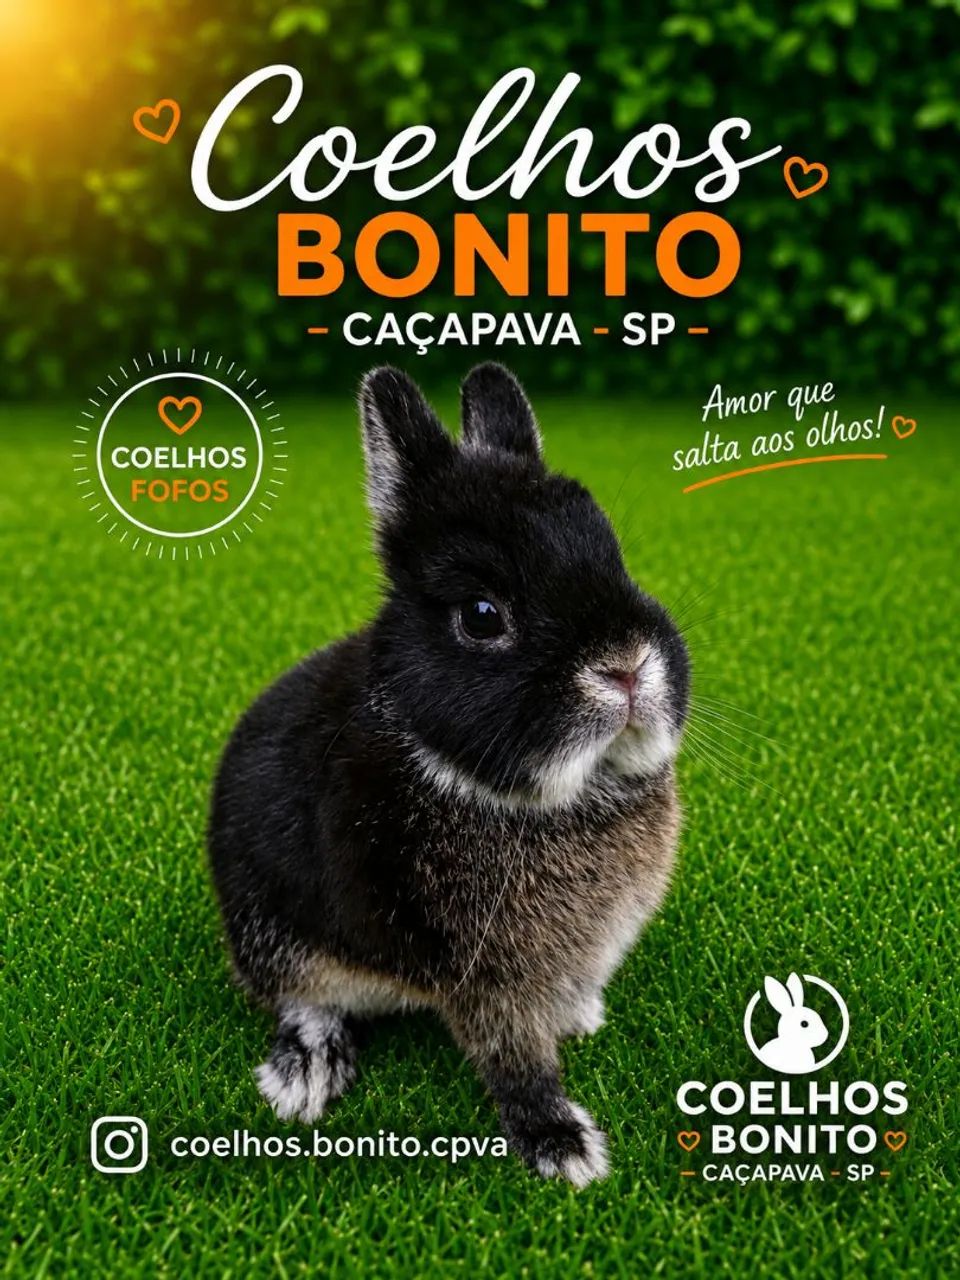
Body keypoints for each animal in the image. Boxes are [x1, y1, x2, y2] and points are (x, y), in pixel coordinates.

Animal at [208, 363, 690, 1186]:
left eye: (615, 558)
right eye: (482, 614)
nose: (626, 665)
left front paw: (580, 1018)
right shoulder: (484, 978)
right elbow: (513, 1059)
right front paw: (562, 1146)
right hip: (276, 935)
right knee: (299, 998)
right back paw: (306, 1074)